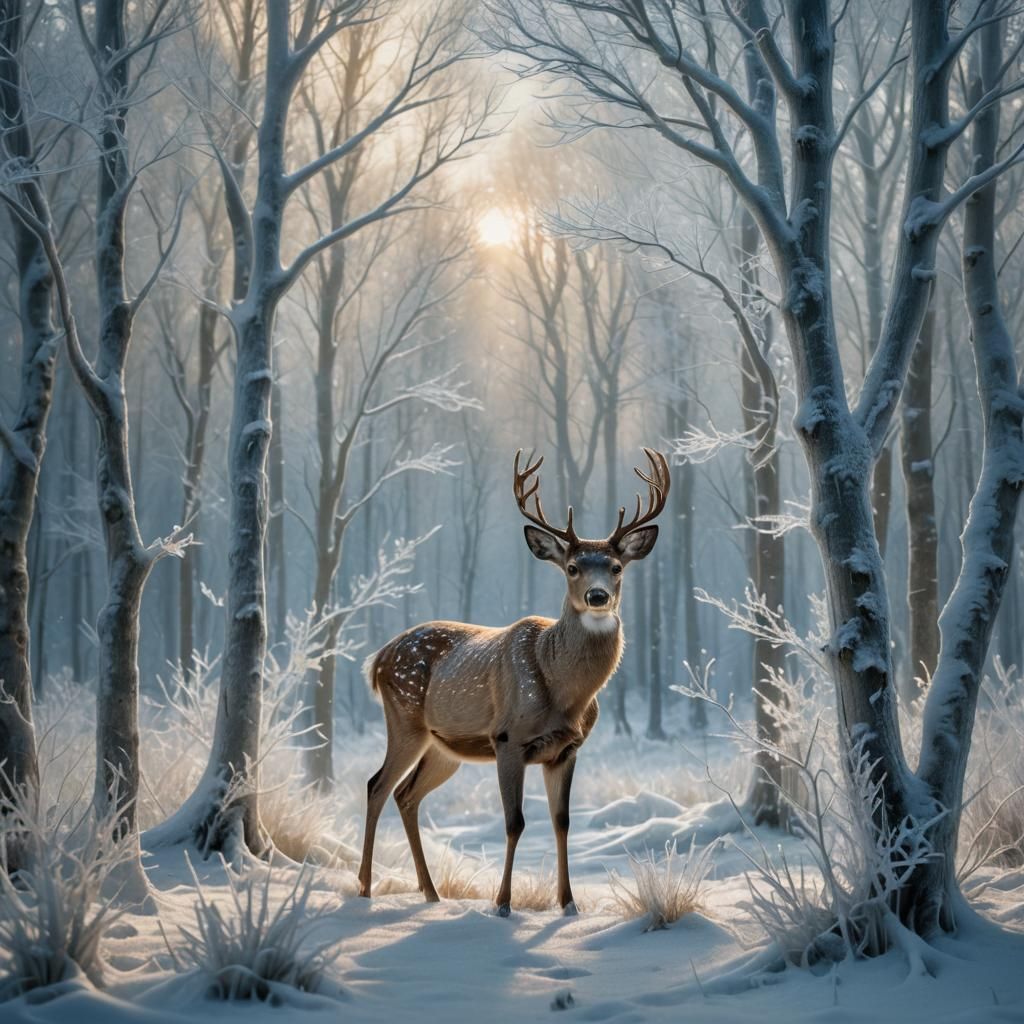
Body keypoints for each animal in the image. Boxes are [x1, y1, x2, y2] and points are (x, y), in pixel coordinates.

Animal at [357, 448, 670, 916]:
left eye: (616, 567)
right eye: (572, 567)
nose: (597, 596)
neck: (565, 694)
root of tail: (377, 659)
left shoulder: (567, 749)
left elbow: (562, 822)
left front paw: (569, 904)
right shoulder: (508, 737)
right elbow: (515, 822)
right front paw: (502, 904)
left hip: (444, 747)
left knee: (406, 795)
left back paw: (431, 893)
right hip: (405, 720)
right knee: (377, 786)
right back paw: (364, 889)